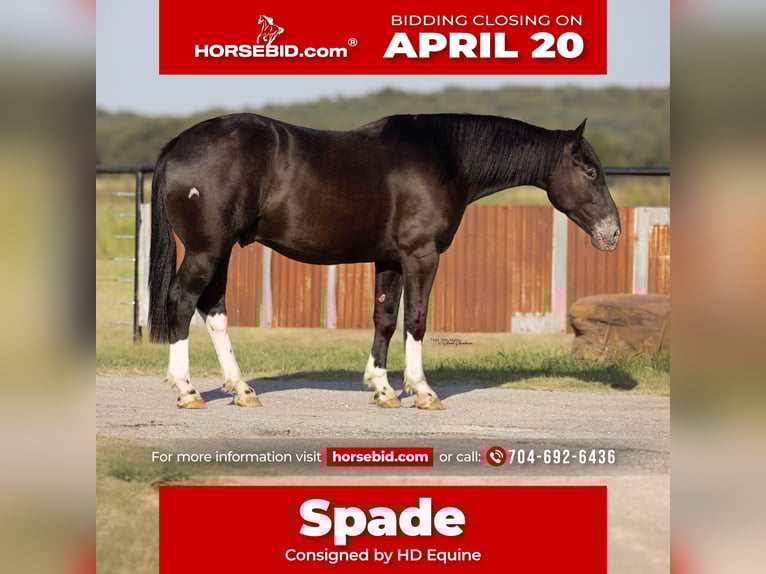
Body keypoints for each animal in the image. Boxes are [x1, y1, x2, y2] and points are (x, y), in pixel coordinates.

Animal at [148, 113, 621, 410]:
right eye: (590, 171)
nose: (613, 232)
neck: (443, 159)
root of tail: (177, 145)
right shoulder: (420, 256)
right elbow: (416, 320)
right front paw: (422, 390)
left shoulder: (389, 261)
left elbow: (386, 319)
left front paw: (383, 389)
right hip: (207, 250)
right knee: (182, 301)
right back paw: (187, 390)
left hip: (223, 249)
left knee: (214, 309)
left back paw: (242, 389)